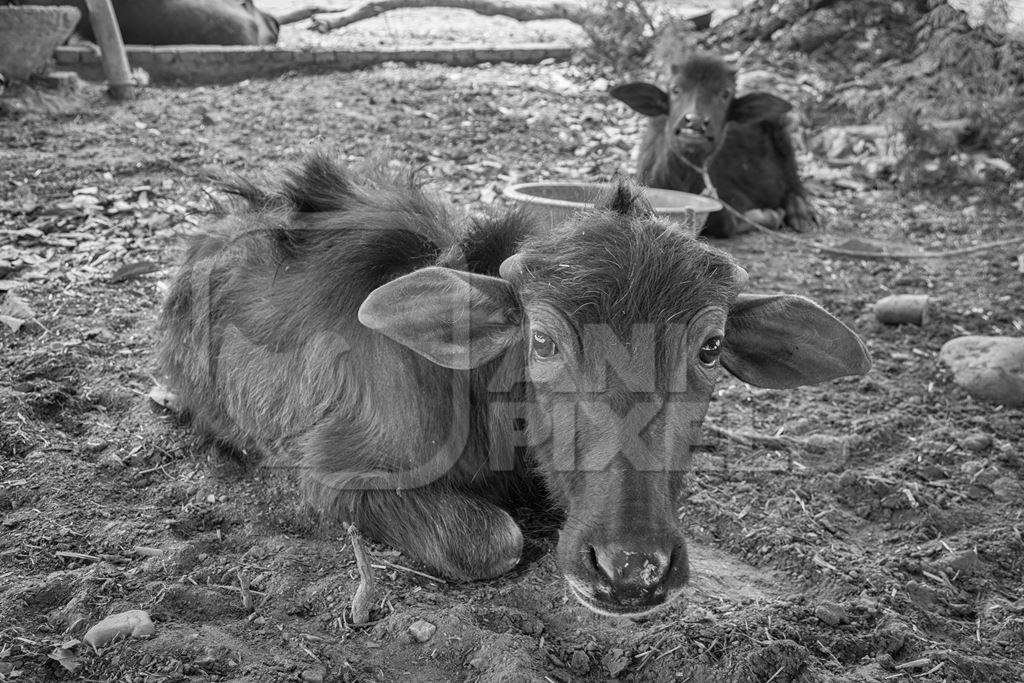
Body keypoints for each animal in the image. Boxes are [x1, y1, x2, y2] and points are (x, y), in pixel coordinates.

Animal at [610, 51, 819, 237]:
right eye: (676, 89)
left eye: (725, 93)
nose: (695, 122)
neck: (684, 180)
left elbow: (726, 222)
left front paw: (770, 216)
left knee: (795, 185)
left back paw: (802, 214)